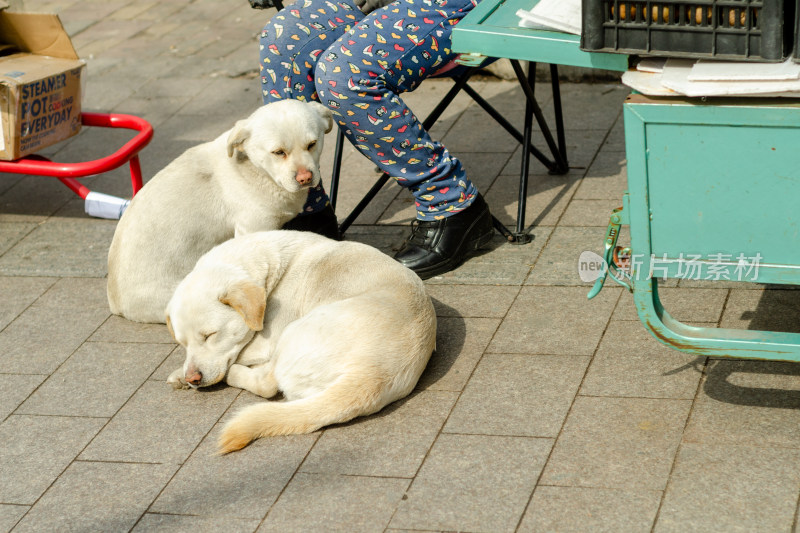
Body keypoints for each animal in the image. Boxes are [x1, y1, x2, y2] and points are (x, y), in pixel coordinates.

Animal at [106, 100, 332, 324]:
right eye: (278, 152)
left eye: (312, 144)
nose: (305, 178)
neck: (254, 170)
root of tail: (116, 305)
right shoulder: (254, 229)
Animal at [164, 230, 438, 454]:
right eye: (182, 342)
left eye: (210, 335)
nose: (193, 379)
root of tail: (372, 375)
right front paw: (182, 374)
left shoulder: (267, 339)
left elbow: (240, 354)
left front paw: (182, 373)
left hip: (293, 332)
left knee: (266, 383)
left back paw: (234, 374)